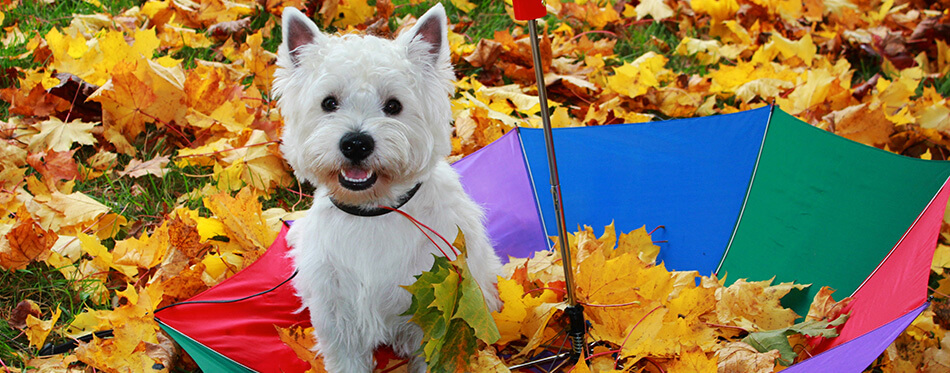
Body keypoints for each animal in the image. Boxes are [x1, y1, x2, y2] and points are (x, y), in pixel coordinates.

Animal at [276, 4, 506, 370]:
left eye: (394, 106)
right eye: (329, 103)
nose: (356, 143)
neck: (375, 211)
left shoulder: (431, 319)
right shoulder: (340, 322)